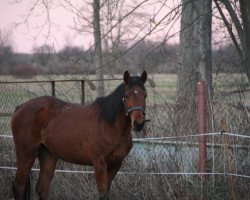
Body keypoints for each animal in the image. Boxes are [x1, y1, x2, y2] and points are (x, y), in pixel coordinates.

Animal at [11, 71, 147, 199]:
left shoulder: (115, 164)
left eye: (144, 95)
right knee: (19, 186)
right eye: (127, 96)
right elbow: (103, 195)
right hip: (26, 154)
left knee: (42, 188)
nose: (138, 124)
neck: (110, 125)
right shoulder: (99, 163)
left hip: (48, 155)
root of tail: (20, 107)